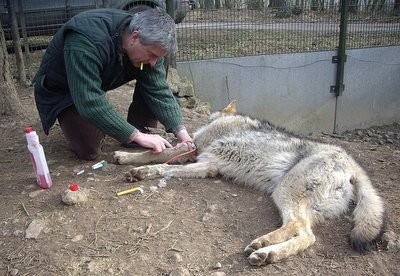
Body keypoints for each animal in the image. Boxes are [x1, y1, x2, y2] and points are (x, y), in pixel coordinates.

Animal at [111, 101, 384, 266]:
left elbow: (154, 155)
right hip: (302, 207)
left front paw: (129, 161)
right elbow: (166, 168)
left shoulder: (192, 148)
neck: (223, 119)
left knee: (298, 228)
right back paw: (267, 254)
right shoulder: (207, 166)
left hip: (284, 192)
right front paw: (141, 170)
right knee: (307, 236)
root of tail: (350, 162)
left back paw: (262, 247)